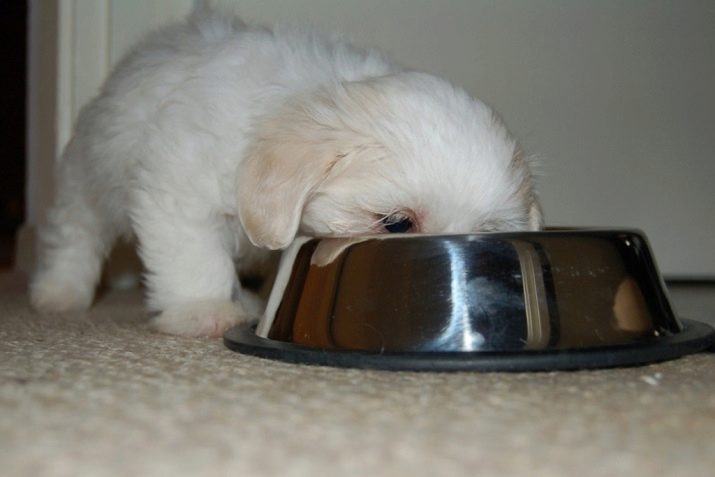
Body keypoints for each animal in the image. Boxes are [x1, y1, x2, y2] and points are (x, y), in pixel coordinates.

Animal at [30, 8, 543, 337]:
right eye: (397, 224)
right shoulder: (181, 191)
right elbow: (195, 257)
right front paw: (203, 311)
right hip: (88, 175)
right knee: (76, 231)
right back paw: (59, 292)